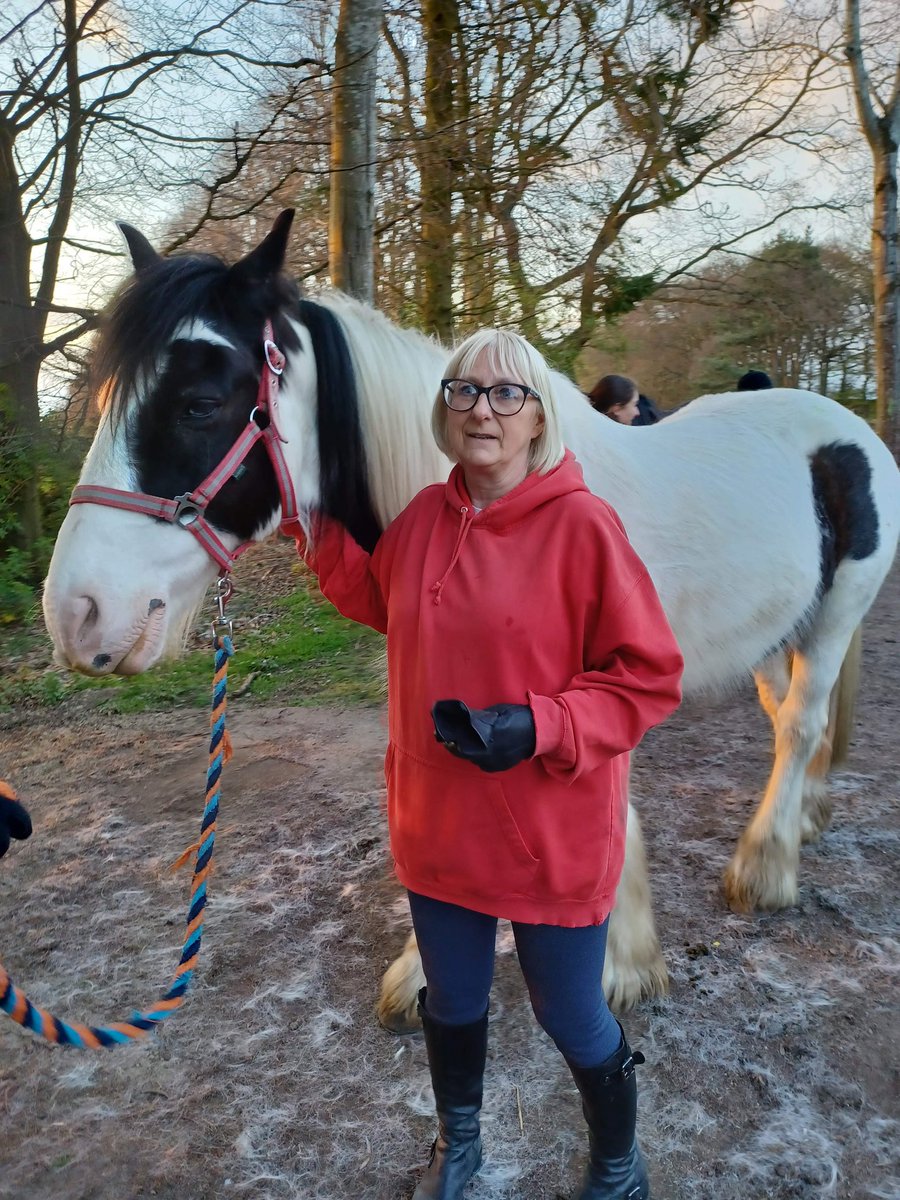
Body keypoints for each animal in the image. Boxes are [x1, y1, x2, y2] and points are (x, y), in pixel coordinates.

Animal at [40, 208, 900, 1032]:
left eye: (200, 404)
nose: (76, 615)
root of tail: (844, 425)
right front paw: (426, 969)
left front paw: (622, 962)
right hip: (773, 631)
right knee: (790, 720)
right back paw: (804, 818)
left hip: (834, 618)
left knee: (800, 724)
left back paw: (765, 867)